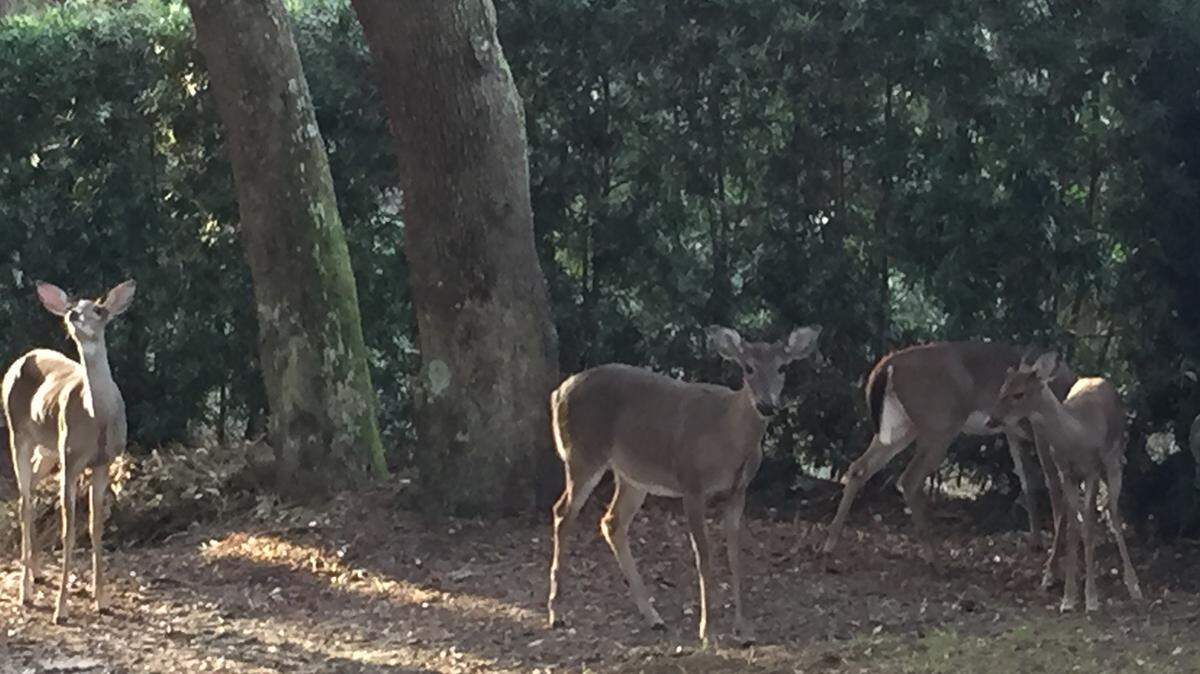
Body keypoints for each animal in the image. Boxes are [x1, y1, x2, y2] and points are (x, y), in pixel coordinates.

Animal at [4, 279, 136, 624]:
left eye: (100, 309)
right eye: (71, 308)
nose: (74, 315)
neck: (97, 416)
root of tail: (21, 359)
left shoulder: (104, 461)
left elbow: (96, 527)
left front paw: (101, 599)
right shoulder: (72, 459)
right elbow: (69, 531)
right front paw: (61, 609)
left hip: (48, 448)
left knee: (29, 491)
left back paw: (36, 572)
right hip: (19, 433)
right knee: (24, 499)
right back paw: (26, 590)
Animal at [546, 324, 822, 644]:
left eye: (782, 367)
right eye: (748, 368)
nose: (767, 405)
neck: (729, 438)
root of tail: (558, 392)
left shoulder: (739, 491)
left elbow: (735, 556)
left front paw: (744, 629)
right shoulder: (692, 484)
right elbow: (704, 557)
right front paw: (707, 630)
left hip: (633, 474)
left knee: (611, 521)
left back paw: (653, 617)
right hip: (583, 454)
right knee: (563, 512)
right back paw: (557, 612)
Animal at [821, 342, 1077, 580]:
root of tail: (887, 365)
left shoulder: (1013, 432)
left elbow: (1028, 480)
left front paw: (1038, 544)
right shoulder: (1040, 432)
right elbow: (1054, 486)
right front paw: (1052, 565)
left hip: (902, 426)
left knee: (859, 468)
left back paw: (829, 547)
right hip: (940, 424)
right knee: (909, 479)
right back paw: (935, 562)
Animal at [986, 351, 1142, 612]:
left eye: (1019, 393)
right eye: (1002, 388)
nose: (991, 420)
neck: (1075, 436)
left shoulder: (1091, 471)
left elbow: (1088, 525)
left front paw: (1091, 599)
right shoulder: (1066, 472)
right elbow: (1072, 528)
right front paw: (1069, 598)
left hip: (1114, 459)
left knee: (1113, 511)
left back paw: (1134, 585)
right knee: (1070, 514)